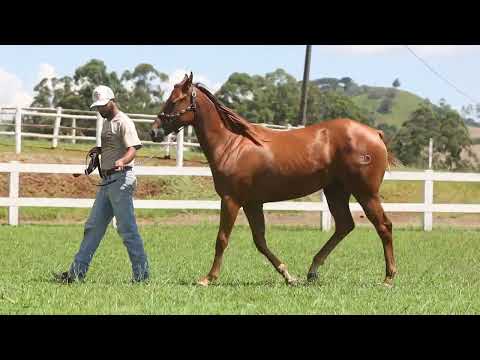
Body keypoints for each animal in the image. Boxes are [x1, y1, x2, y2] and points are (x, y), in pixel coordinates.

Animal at [151, 72, 398, 286]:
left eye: (175, 100)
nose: (154, 132)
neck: (232, 144)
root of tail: (375, 134)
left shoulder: (231, 200)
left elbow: (222, 239)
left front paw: (208, 278)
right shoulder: (252, 203)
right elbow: (260, 241)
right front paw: (288, 276)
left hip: (365, 193)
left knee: (383, 226)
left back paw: (388, 278)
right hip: (336, 191)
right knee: (345, 225)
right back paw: (312, 271)